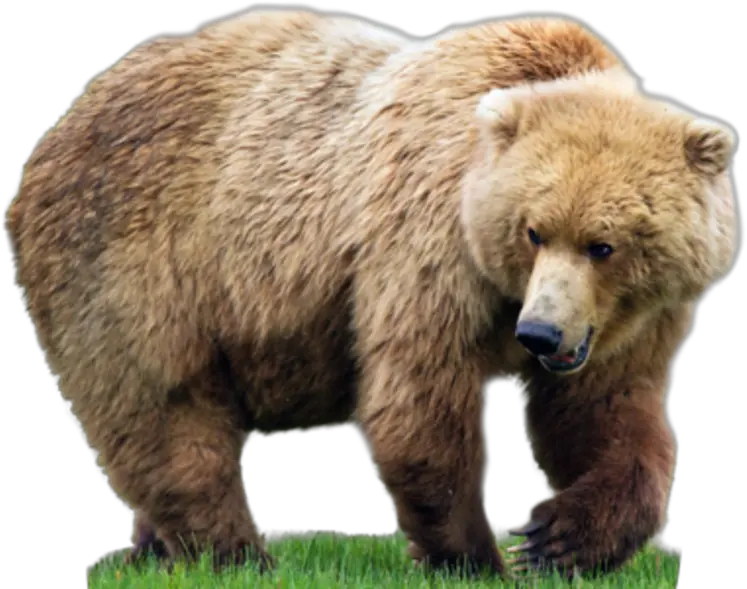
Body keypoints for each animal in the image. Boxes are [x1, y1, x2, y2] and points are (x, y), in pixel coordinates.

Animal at [5, 6, 740, 580]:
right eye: (533, 230)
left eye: (603, 244)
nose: (539, 334)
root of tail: (67, 120)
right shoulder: (425, 243)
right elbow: (418, 399)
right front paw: (475, 557)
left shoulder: (628, 319)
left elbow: (604, 412)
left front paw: (555, 539)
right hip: (137, 256)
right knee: (167, 405)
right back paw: (238, 553)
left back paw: (153, 550)